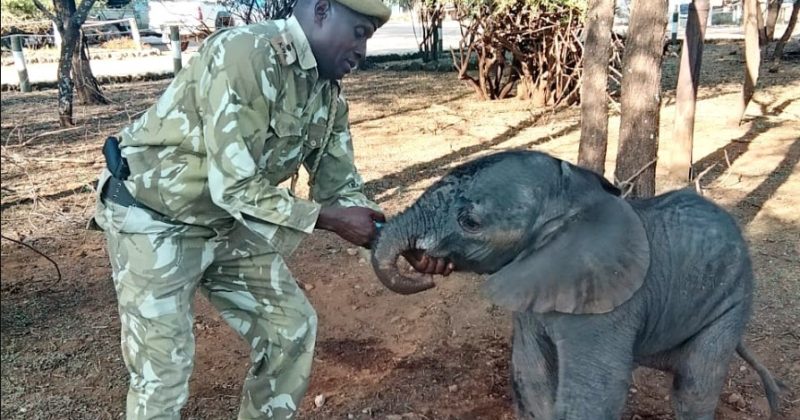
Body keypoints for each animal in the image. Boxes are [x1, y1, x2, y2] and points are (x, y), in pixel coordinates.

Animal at [370, 150, 784, 419]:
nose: (425, 270)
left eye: (469, 222)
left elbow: (597, 389)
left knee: (694, 386)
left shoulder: (609, 303)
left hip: (733, 297)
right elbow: (531, 372)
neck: (575, 196)